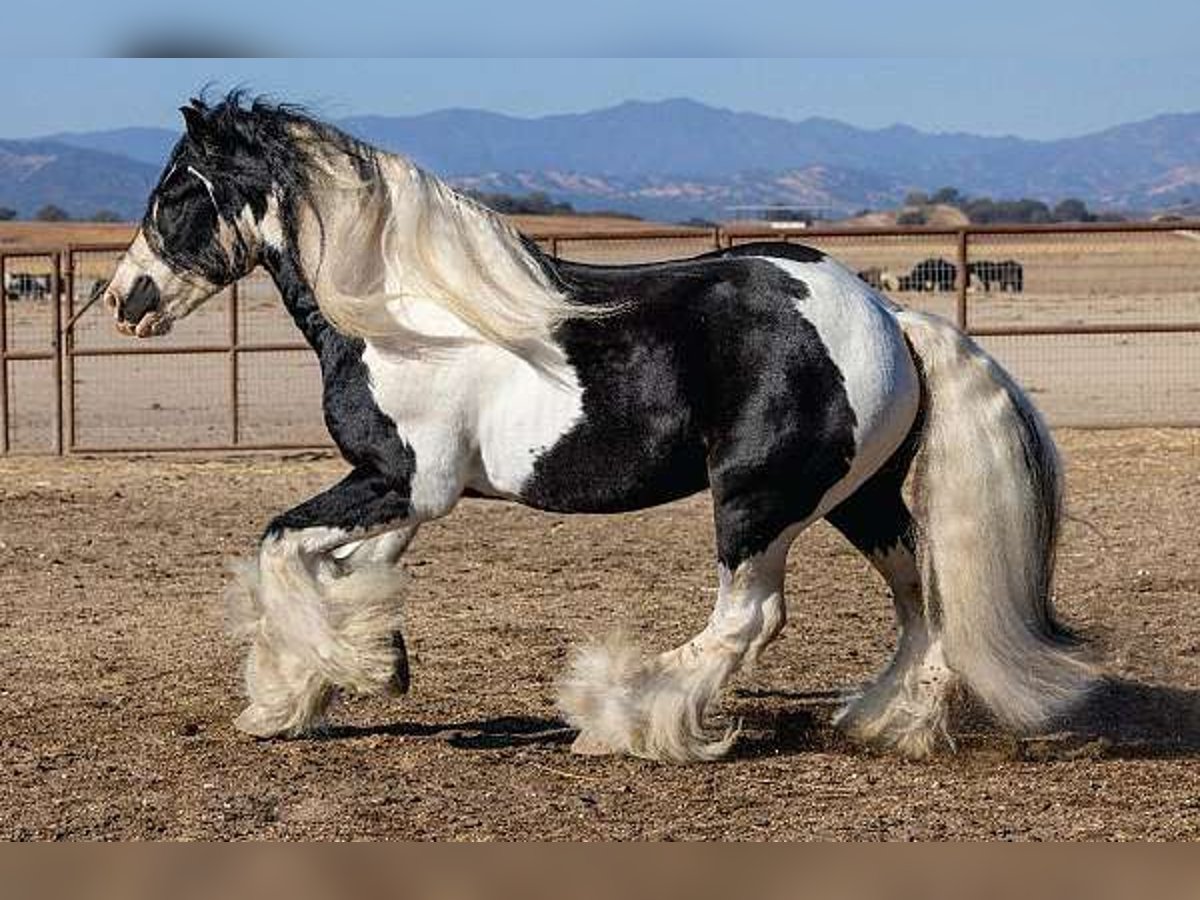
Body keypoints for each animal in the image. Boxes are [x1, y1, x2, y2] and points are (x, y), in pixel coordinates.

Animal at [105, 95, 1099, 763]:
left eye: (175, 190)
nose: (124, 300)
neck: (403, 315)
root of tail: (890, 314)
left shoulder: (404, 481)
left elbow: (280, 547)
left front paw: (333, 676)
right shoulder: (410, 497)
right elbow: (344, 574)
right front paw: (330, 681)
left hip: (757, 501)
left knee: (750, 618)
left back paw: (621, 716)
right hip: (859, 499)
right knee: (920, 598)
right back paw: (887, 722)